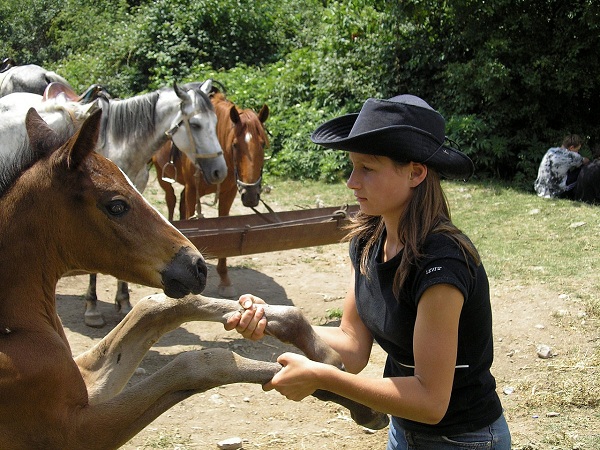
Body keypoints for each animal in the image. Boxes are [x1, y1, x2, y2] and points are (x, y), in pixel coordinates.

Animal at [0, 108, 386, 446]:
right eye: (117, 205)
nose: (197, 265)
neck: (17, 329)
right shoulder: (74, 431)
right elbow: (203, 361)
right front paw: (354, 398)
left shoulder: (88, 384)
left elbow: (158, 308)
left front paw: (323, 353)